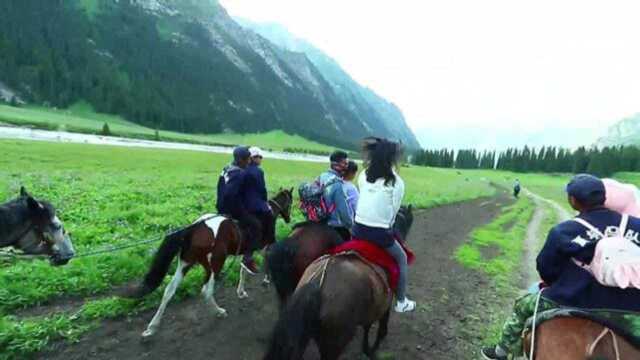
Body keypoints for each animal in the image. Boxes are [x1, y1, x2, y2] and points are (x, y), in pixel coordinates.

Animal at [127, 188, 292, 338]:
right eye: (290, 202)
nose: (289, 219)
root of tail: (193, 228)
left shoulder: (247, 252)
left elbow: (243, 269)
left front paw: (241, 291)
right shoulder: (265, 246)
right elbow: (264, 262)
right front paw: (266, 281)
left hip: (186, 264)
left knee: (169, 291)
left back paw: (152, 327)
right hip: (215, 264)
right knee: (206, 290)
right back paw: (219, 311)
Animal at [262, 253, 392, 360]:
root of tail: (319, 282)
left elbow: (368, 326)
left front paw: (367, 349)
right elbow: (381, 329)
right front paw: (372, 350)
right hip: (334, 341)